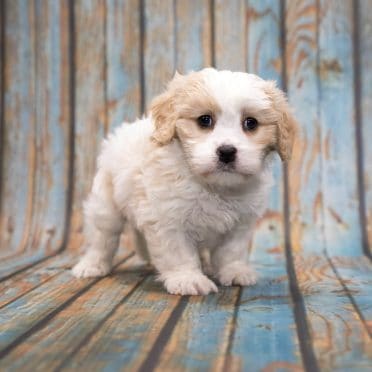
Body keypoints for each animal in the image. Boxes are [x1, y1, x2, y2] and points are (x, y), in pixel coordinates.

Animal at [72, 67, 296, 294]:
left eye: (251, 123)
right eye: (204, 120)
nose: (226, 152)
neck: (215, 187)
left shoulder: (241, 222)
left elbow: (232, 251)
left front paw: (234, 271)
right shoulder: (168, 220)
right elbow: (178, 254)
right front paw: (188, 279)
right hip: (106, 205)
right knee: (102, 237)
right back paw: (92, 265)